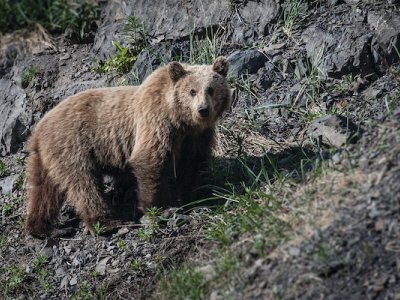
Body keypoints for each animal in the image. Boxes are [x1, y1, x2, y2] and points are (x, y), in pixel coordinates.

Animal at [25, 57, 231, 238]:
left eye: (211, 89)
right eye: (192, 91)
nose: (203, 110)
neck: (181, 120)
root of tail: (39, 128)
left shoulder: (196, 137)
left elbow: (192, 164)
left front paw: (190, 197)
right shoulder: (156, 121)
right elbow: (150, 160)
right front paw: (158, 208)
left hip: (45, 157)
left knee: (43, 190)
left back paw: (45, 228)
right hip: (72, 144)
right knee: (84, 184)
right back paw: (107, 224)